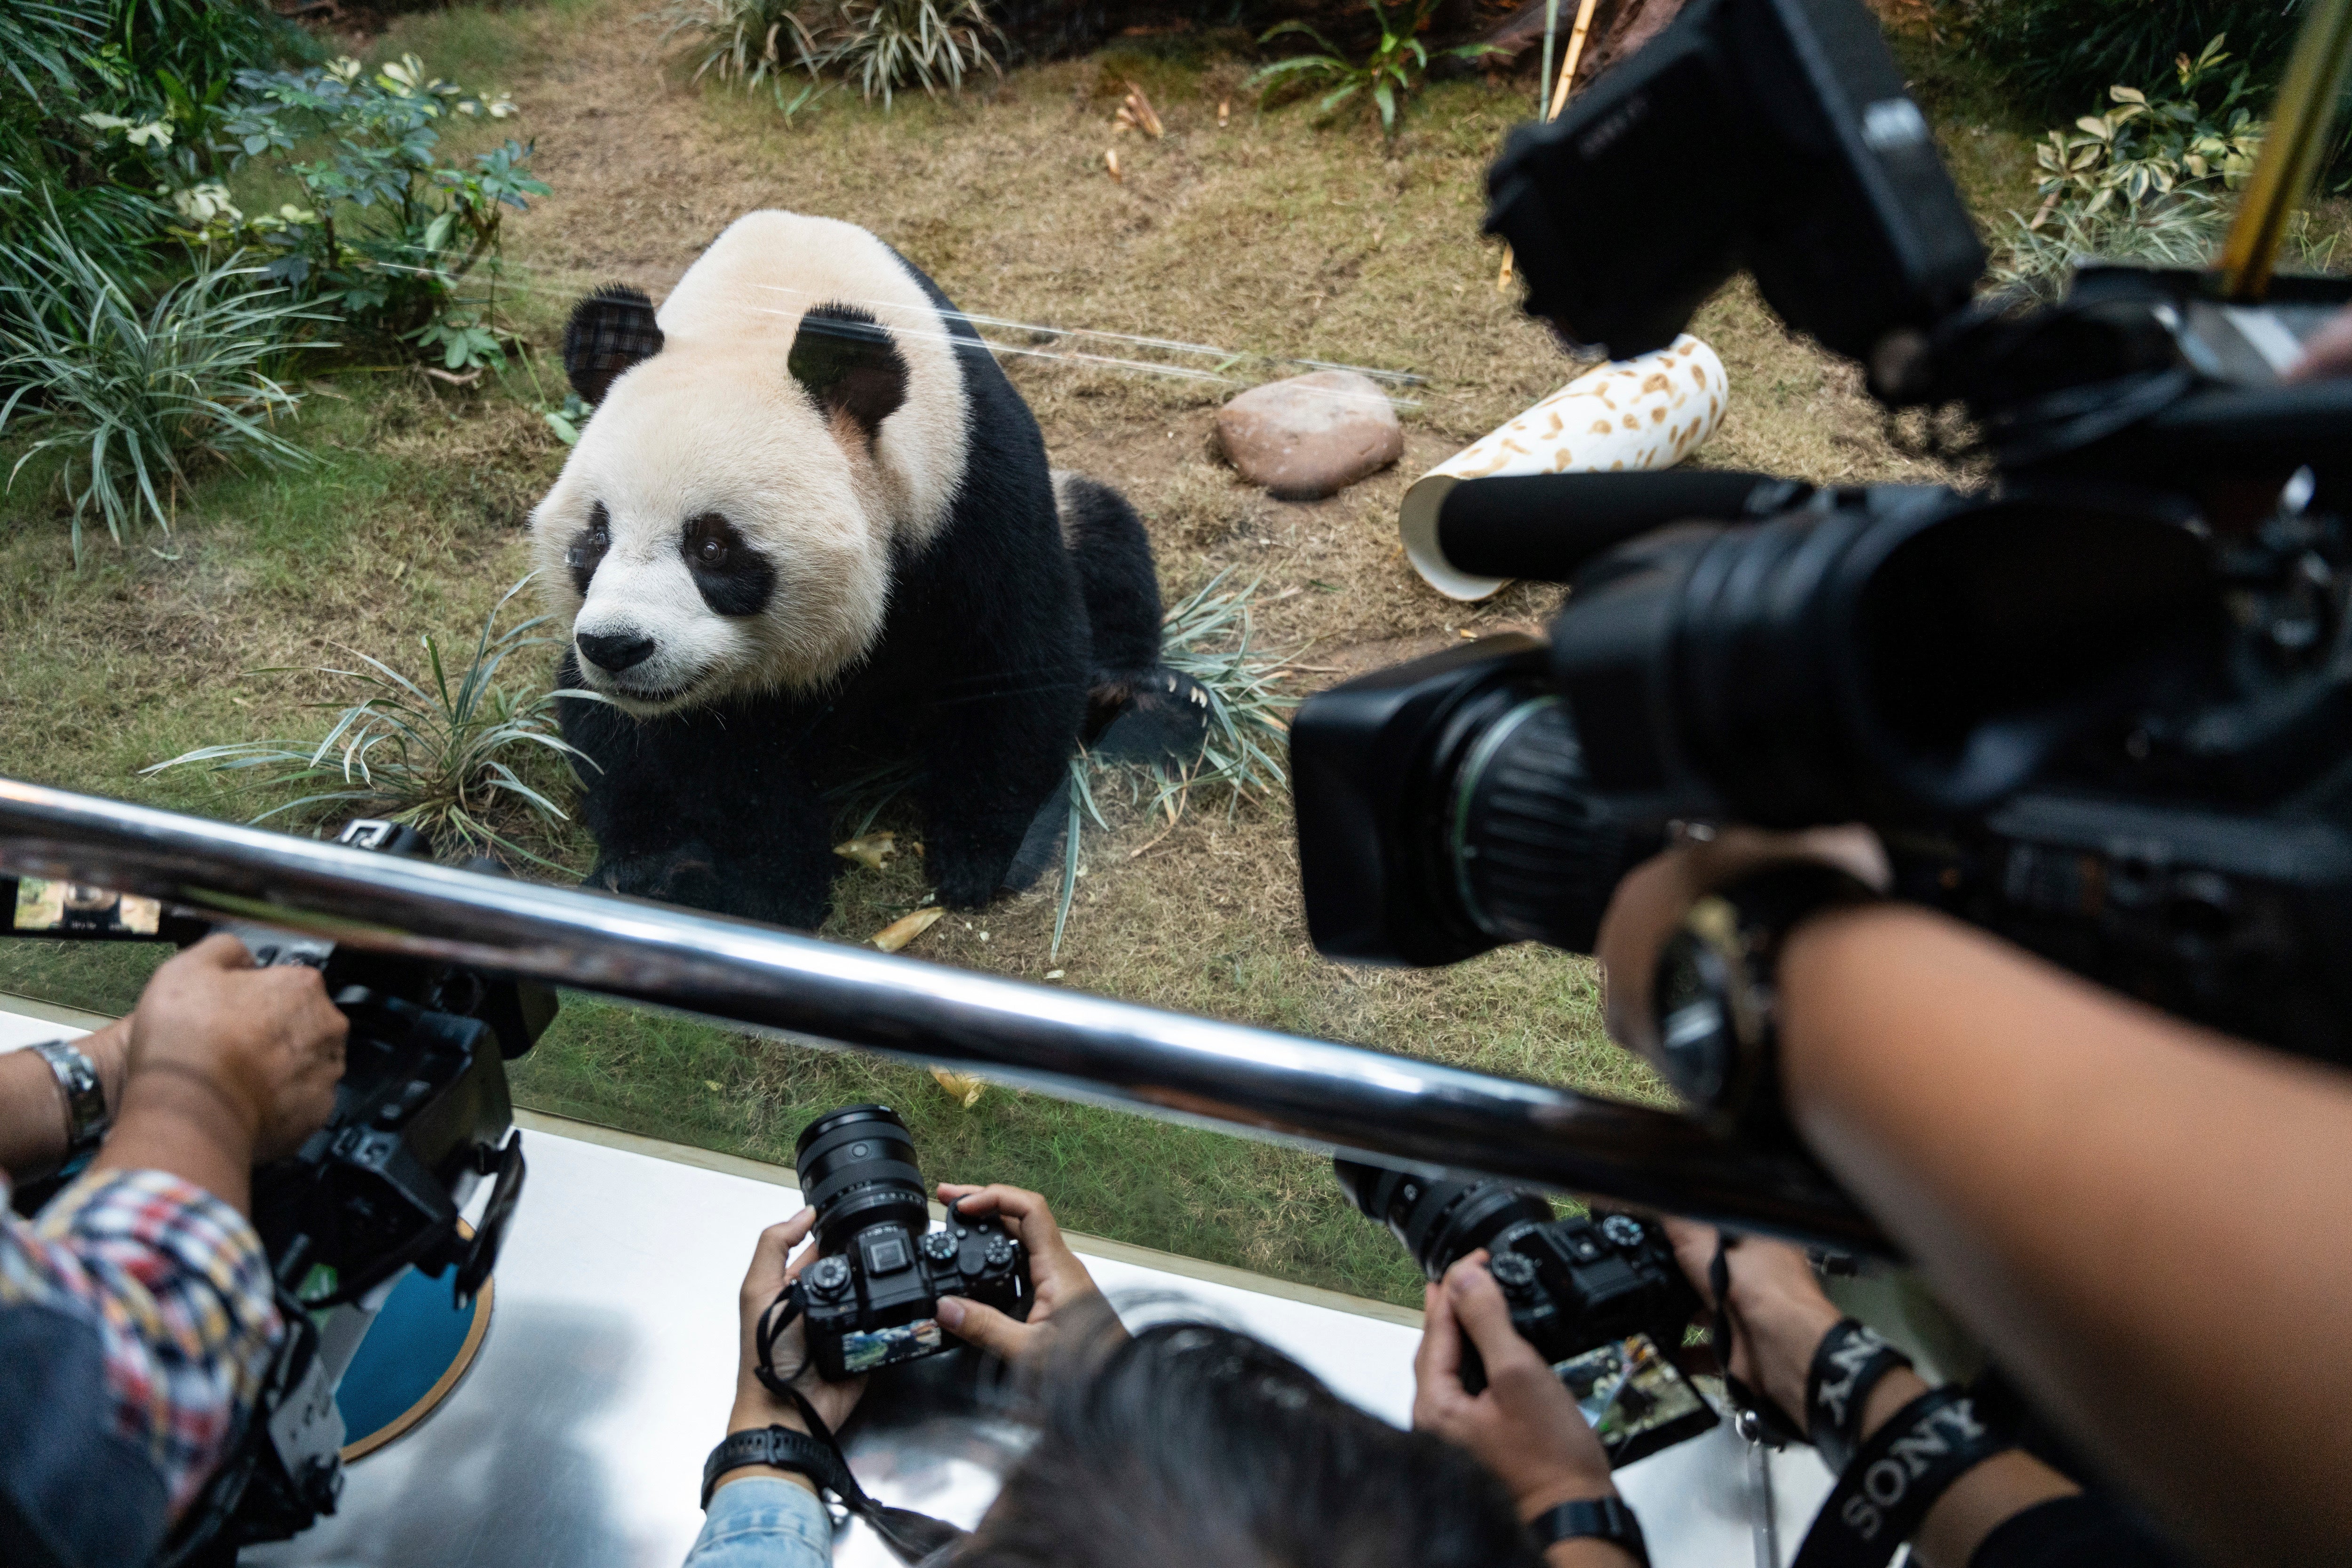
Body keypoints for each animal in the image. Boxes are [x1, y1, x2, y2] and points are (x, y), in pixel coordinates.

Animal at [530, 210, 1203, 929]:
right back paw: (648, 874)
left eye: (711, 547)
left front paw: (981, 858)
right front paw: (770, 888)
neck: (763, 308)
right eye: (595, 537)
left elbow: (1014, 654)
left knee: (1106, 537)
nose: (617, 646)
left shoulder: (969, 478)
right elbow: (717, 754)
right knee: (599, 728)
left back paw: (1147, 699)